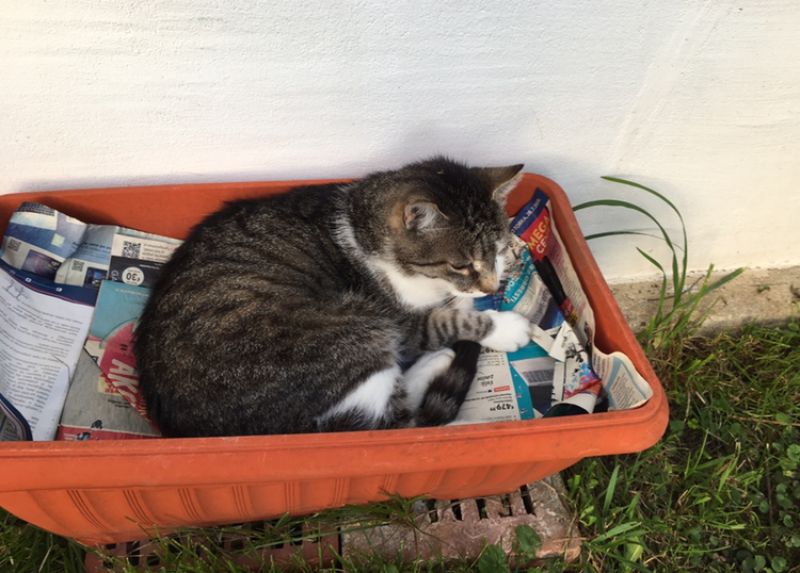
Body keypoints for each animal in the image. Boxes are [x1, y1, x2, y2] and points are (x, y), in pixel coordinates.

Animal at [134, 157, 531, 437]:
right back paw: (444, 369)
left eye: (499, 250)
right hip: (354, 330)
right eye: (461, 265)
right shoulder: (398, 320)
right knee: (398, 422)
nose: (490, 287)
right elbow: (444, 322)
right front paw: (504, 327)